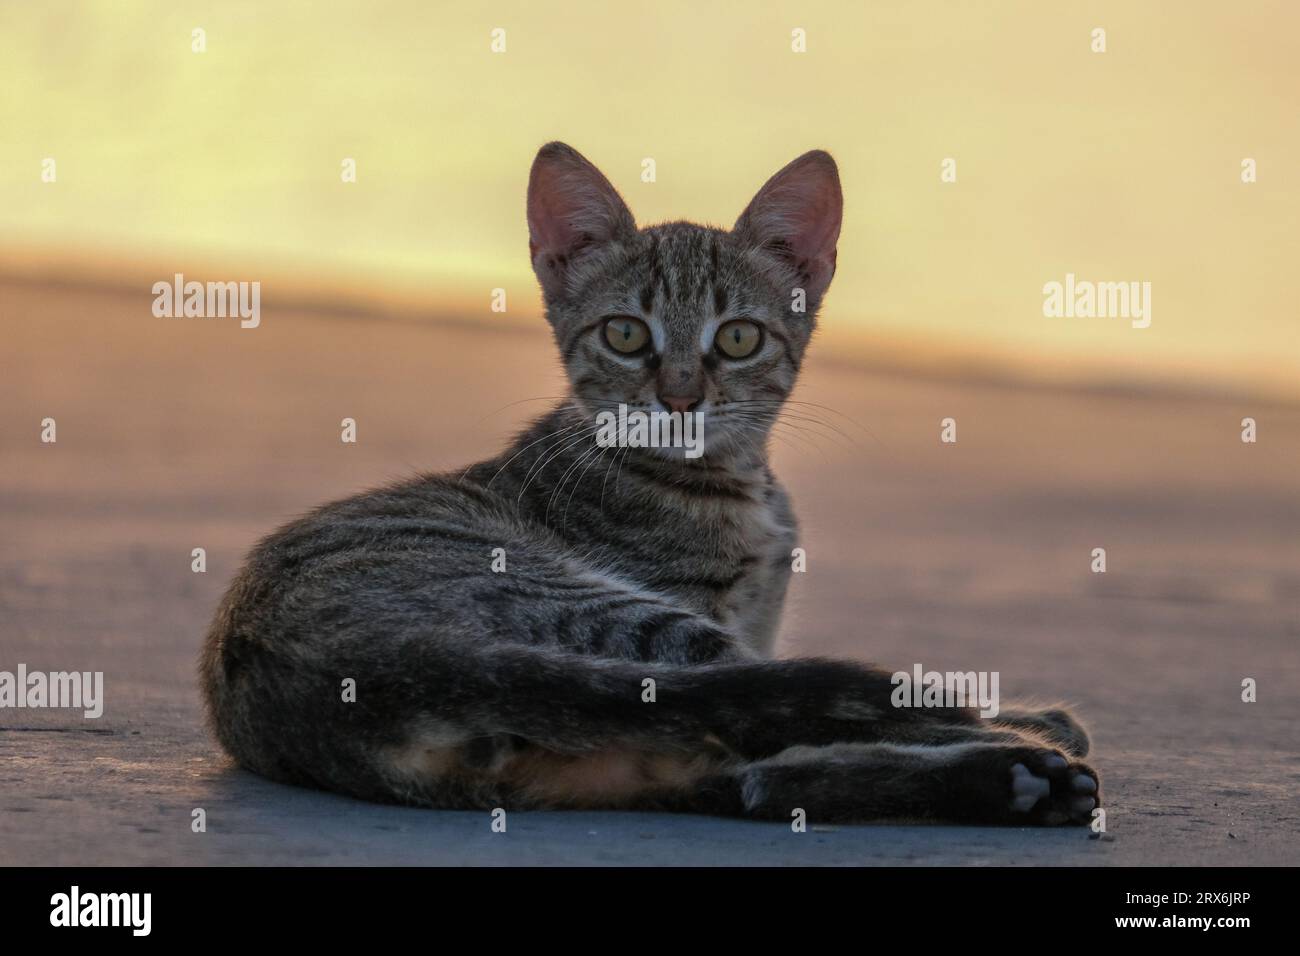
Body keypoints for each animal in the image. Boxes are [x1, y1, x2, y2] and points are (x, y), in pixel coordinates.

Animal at [200, 141, 1097, 822]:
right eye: (626, 334)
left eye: (737, 337)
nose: (680, 396)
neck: (731, 484)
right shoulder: (714, 618)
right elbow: (787, 693)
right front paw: (1003, 712)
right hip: (609, 614)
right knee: (761, 711)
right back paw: (1016, 752)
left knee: (756, 769)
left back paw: (1015, 781)